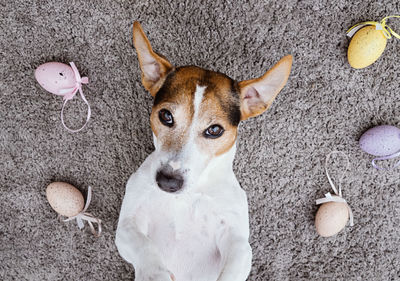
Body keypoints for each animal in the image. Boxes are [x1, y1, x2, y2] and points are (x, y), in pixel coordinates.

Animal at [115, 22, 290, 280]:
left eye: (214, 130)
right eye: (165, 116)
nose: (168, 182)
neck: (186, 196)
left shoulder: (237, 243)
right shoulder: (128, 226)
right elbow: (147, 251)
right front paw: (157, 273)